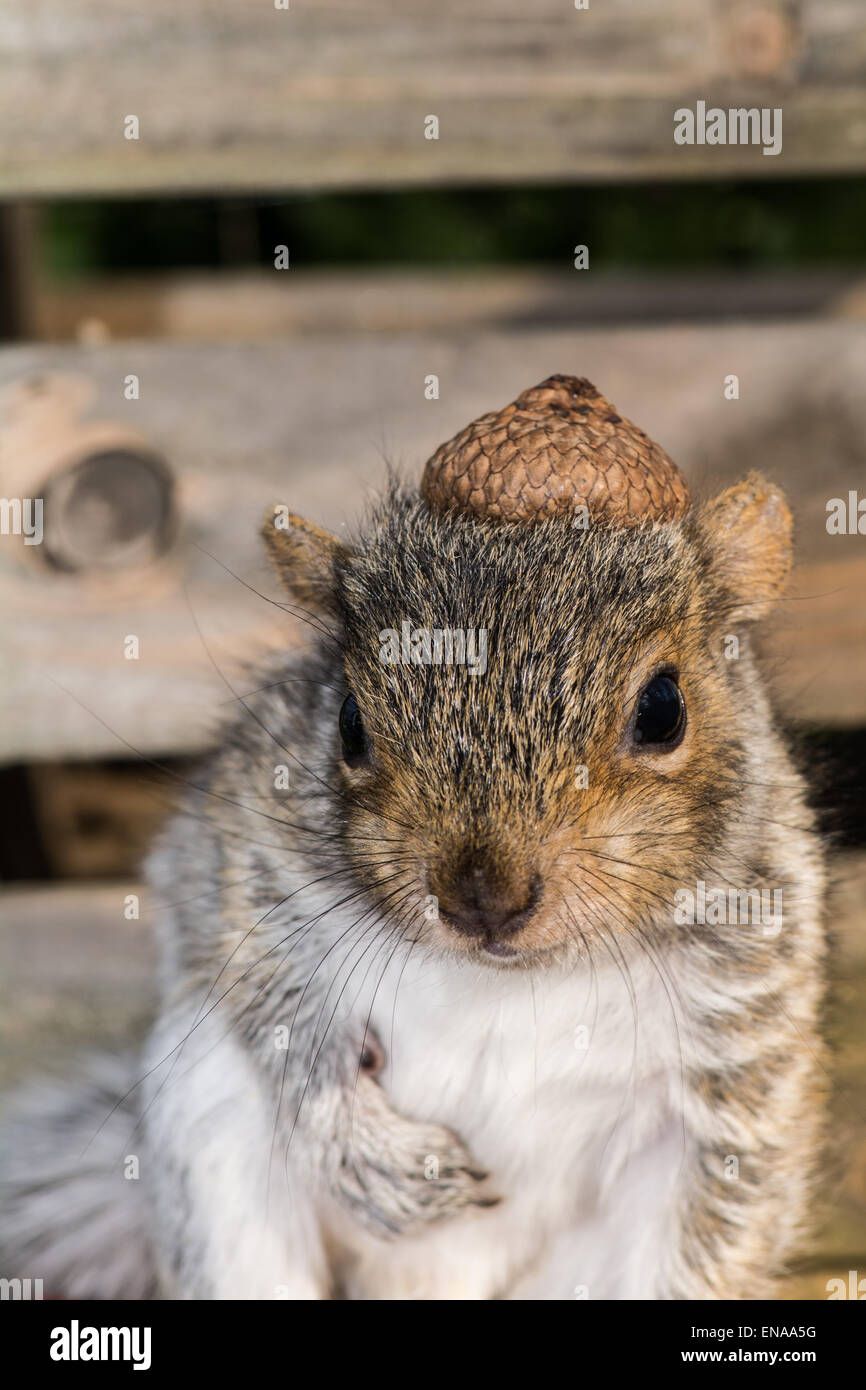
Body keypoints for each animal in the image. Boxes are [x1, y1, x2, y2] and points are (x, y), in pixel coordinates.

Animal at [0, 375, 828, 1295]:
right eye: (350, 723)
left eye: (663, 709)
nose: (482, 898)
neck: (511, 979)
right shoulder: (241, 847)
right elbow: (261, 977)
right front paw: (371, 1156)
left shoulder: (741, 1032)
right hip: (207, 1116)